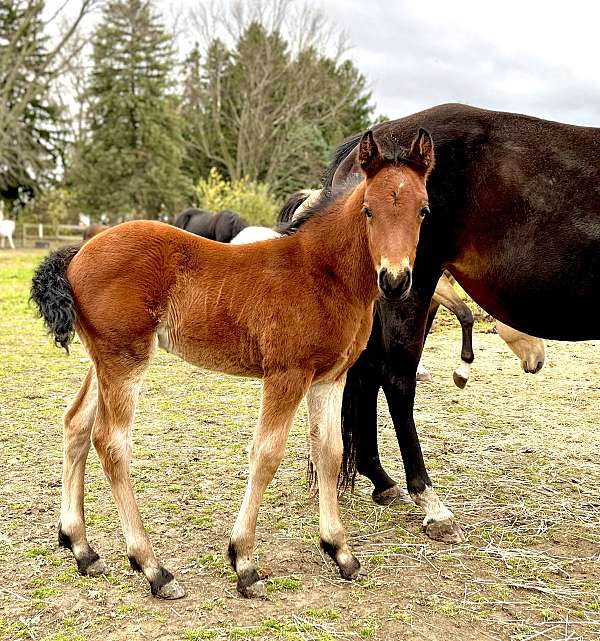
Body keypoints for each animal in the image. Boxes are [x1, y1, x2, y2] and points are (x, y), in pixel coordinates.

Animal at [32, 129, 434, 600]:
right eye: (369, 209)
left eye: (423, 210)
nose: (395, 280)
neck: (323, 273)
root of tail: (77, 254)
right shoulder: (286, 375)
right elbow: (266, 454)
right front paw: (243, 562)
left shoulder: (330, 378)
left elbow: (330, 453)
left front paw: (340, 552)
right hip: (124, 360)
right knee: (111, 443)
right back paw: (153, 569)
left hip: (104, 360)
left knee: (76, 423)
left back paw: (81, 548)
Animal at [326, 104, 596, 540]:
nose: (538, 362)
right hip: (408, 285)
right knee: (396, 379)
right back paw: (430, 503)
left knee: (366, 373)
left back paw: (382, 481)